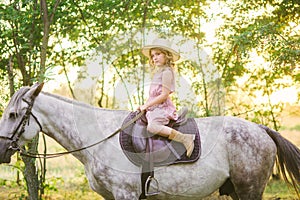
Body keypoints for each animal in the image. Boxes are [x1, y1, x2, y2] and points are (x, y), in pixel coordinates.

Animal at [0, 82, 298, 199]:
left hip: (250, 189)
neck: (98, 141)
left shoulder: (126, 195)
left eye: (14, 114)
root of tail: (261, 129)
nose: (2, 150)